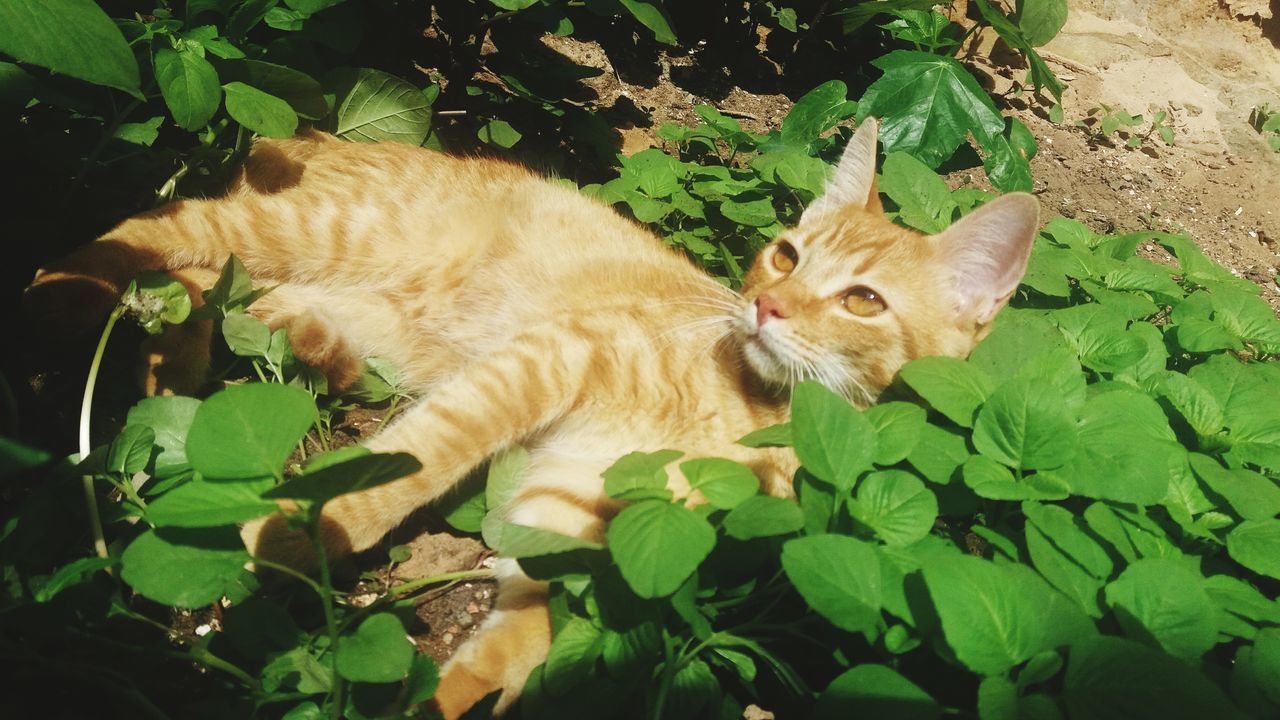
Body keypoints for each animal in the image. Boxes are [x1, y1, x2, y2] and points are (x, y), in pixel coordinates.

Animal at [30, 120, 1039, 712]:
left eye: (863, 301)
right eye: (787, 255)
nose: (767, 307)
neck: (749, 414)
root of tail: (311, 133)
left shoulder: (581, 521)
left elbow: (520, 641)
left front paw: (443, 695)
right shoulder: (549, 362)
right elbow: (417, 462)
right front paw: (302, 533)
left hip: (321, 311)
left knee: (204, 292)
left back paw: (176, 366)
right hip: (306, 232)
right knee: (167, 230)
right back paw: (67, 291)